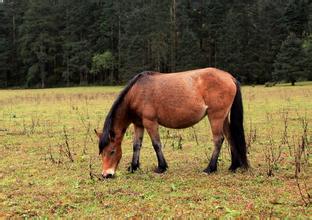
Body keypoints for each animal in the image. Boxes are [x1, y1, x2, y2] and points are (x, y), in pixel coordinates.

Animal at [95, 68, 249, 178]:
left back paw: (210, 168)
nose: (106, 174)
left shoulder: (150, 122)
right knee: (230, 137)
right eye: (102, 152)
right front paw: (134, 167)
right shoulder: (139, 124)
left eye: (112, 151)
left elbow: (156, 144)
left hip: (215, 117)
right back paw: (233, 166)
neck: (137, 92)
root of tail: (229, 77)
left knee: (219, 139)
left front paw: (161, 167)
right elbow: (136, 146)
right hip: (223, 118)